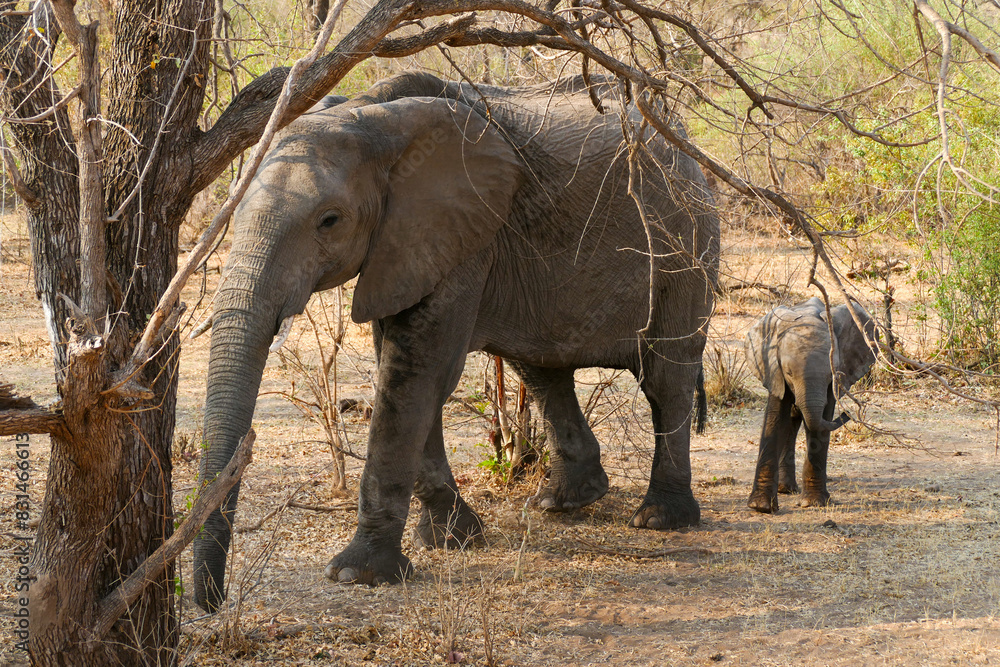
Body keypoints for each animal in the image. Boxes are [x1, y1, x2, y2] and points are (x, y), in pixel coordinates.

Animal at [192, 71, 719, 612]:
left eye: (330, 220)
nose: (213, 602)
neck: (369, 118)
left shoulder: (464, 235)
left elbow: (417, 372)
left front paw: (357, 575)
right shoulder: (406, 245)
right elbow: (404, 370)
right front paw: (453, 538)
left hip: (687, 240)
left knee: (666, 377)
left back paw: (659, 518)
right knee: (542, 368)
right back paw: (563, 501)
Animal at [744, 297, 877, 513]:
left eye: (830, 373)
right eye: (789, 372)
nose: (847, 414)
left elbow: (821, 424)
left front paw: (813, 503)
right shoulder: (773, 371)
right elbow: (774, 419)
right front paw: (761, 507)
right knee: (790, 421)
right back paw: (785, 489)